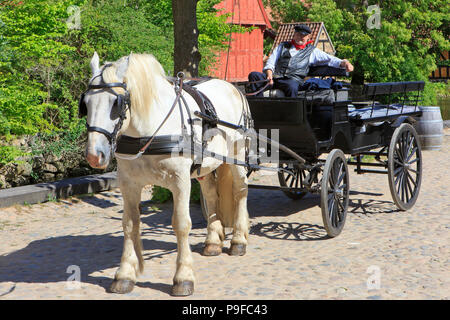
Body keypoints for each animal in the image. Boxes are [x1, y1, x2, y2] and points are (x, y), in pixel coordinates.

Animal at [79, 52, 251, 296]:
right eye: (86, 104)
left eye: (116, 104)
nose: (95, 155)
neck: (149, 130)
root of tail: (233, 87)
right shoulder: (129, 183)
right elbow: (129, 224)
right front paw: (125, 274)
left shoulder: (180, 182)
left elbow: (181, 224)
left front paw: (183, 277)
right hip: (205, 166)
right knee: (211, 195)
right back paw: (212, 242)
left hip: (237, 155)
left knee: (240, 192)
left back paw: (238, 241)